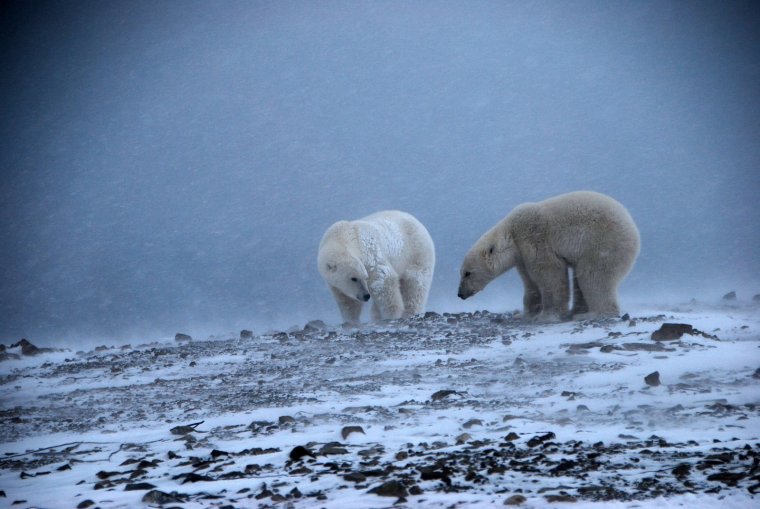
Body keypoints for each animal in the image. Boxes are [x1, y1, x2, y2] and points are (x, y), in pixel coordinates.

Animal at [457, 191, 640, 321]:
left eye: (467, 273)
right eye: (463, 272)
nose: (460, 294)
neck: (512, 234)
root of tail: (634, 232)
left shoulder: (534, 238)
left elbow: (550, 276)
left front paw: (547, 315)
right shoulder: (522, 256)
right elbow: (530, 282)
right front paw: (524, 314)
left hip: (602, 245)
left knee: (593, 276)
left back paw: (590, 314)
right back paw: (577, 311)